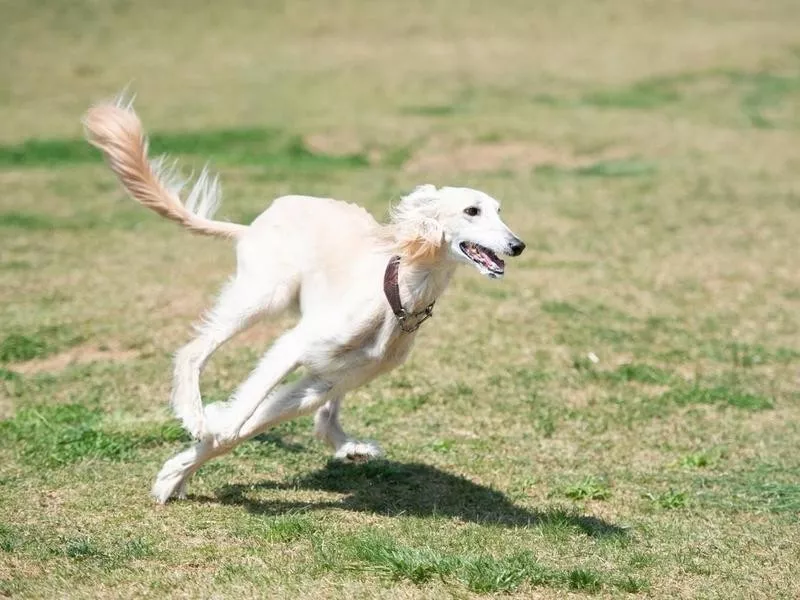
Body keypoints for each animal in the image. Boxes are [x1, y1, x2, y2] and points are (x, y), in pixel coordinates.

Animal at [84, 97, 528, 502]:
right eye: (472, 210)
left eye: (500, 210)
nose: (518, 245)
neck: (396, 296)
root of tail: (252, 224)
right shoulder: (296, 344)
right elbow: (242, 414)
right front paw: (207, 430)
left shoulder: (322, 382)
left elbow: (257, 422)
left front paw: (175, 474)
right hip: (263, 296)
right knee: (194, 351)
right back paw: (194, 411)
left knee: (325, 416)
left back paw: (350, 447)